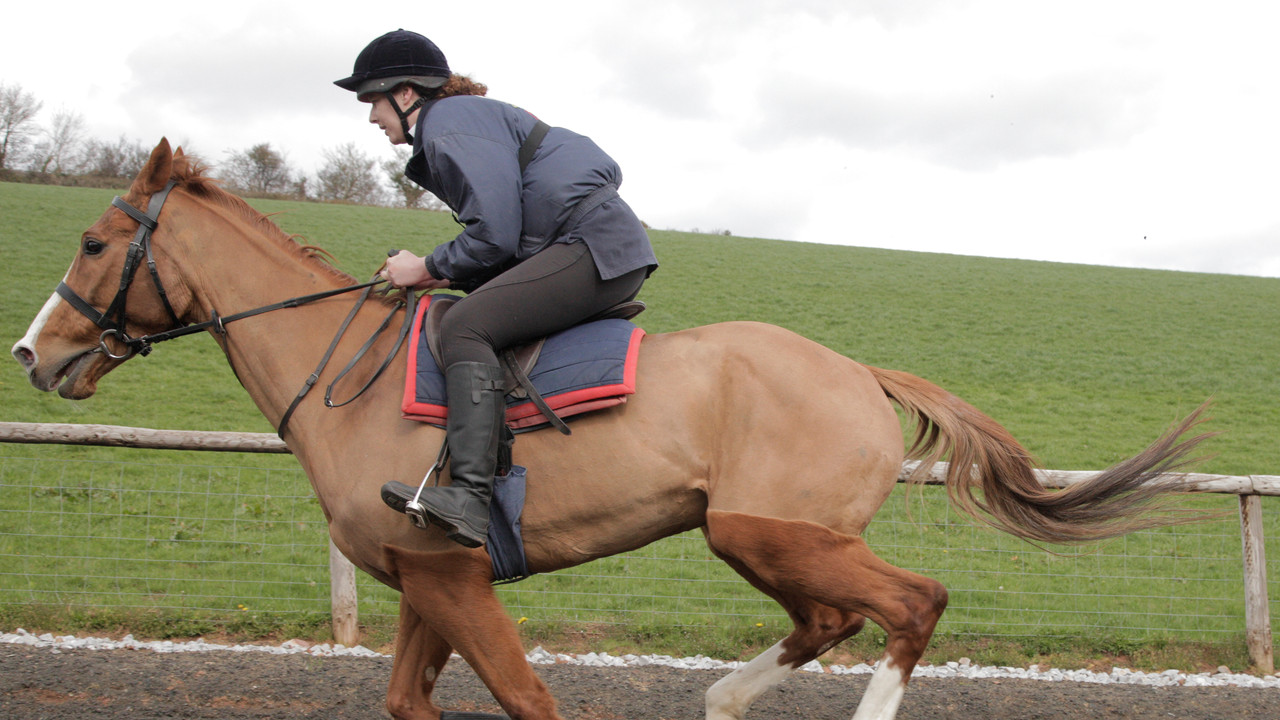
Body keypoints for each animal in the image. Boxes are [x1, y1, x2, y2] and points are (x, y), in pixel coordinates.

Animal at [11, 138, 1210, 720]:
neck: (346, 377)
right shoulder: (430, 579)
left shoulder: (452, 578)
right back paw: (724, 699)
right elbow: (407, 700)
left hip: (765, 531)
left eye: (90, 241)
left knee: (911, 604)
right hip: (759, 538)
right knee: (830, 619)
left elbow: (526, 697)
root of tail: (857, 372)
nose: (33, 353)